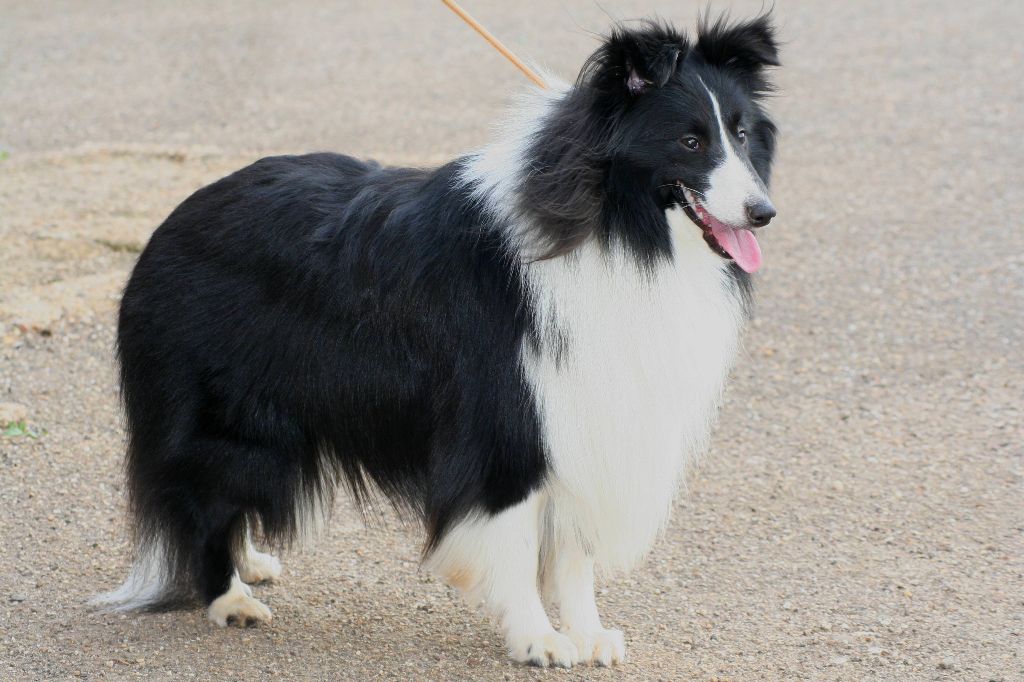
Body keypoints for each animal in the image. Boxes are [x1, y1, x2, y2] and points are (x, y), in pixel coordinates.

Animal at [93, 14, 779, 668]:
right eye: (690, 140)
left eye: (742, 134)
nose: (763, 212)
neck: (615, 227)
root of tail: (170, 223)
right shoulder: (509, 423)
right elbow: (515, 541)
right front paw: (538, 640)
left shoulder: (585, 418)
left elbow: (572, 556)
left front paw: (589, 635)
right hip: (234, 419)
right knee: (205, 498)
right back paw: (229, 597)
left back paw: (252, 562)